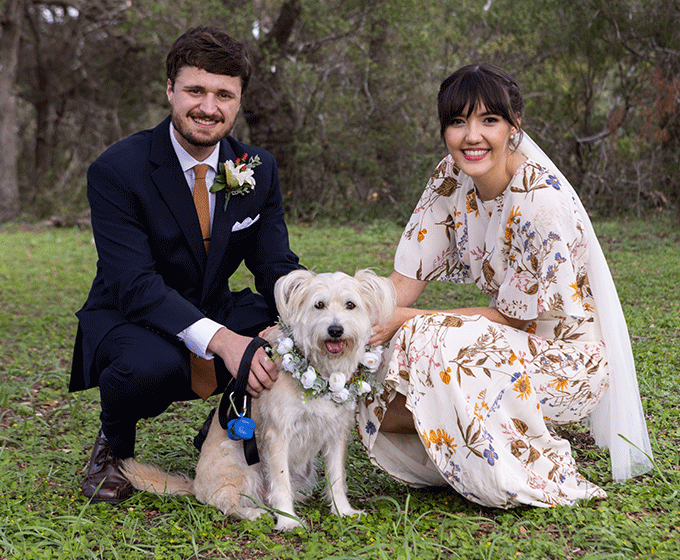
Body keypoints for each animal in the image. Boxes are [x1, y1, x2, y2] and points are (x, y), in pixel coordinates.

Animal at [121, 270, 394, 532]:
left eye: (351, 305)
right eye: (319, 305)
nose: (335, 330)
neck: (321, 372)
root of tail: (195, 485)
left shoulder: (336, 433)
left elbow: (337, 477)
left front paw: (343, 511)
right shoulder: (278, 435)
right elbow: (280, 482)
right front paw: (288, 521)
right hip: (242, 466)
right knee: (226, 502)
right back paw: (255, 513)